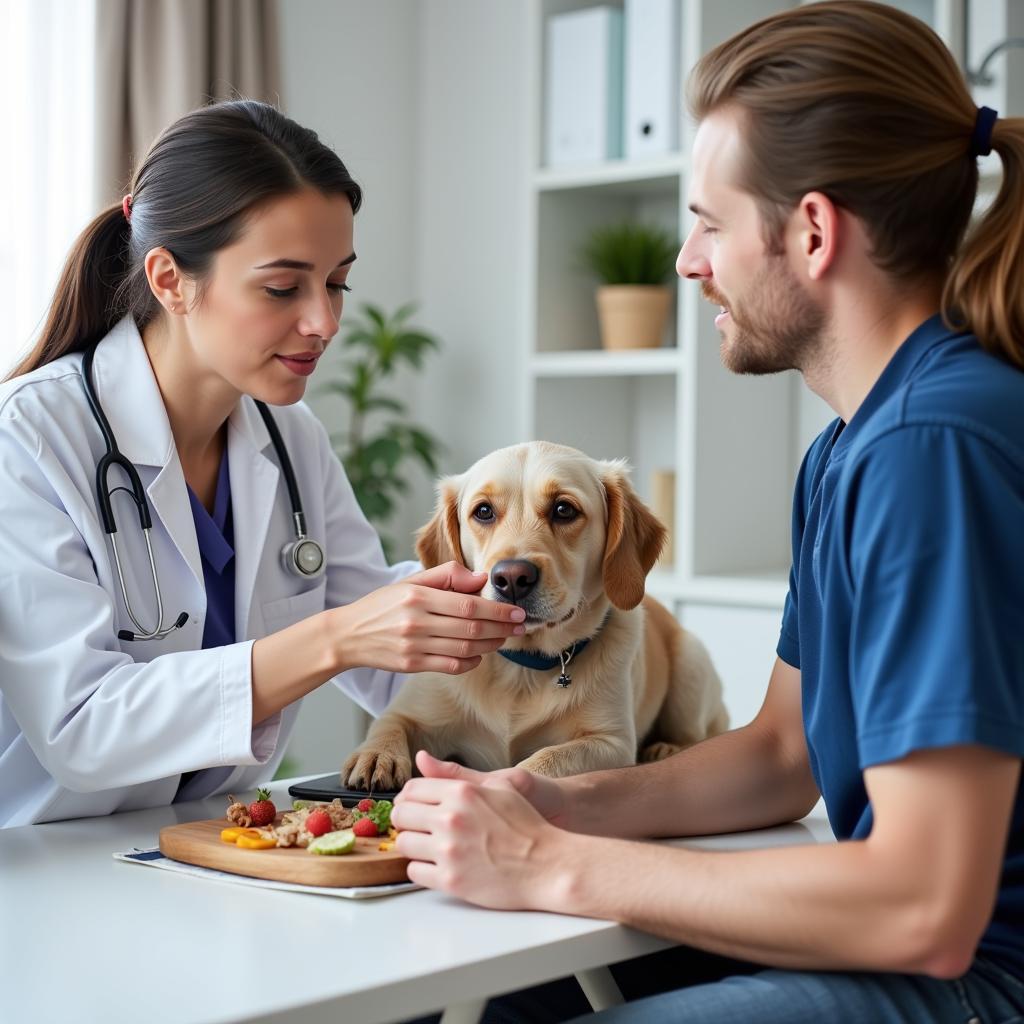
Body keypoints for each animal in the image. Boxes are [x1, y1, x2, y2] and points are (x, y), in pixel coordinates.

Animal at [344, 442, 729, 790]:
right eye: (483, 511)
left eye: (563, 509)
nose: (512, 578)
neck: (522, 668)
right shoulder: (408, 710)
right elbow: (388, 724)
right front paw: (377, 754)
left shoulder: (611, 742)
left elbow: (547, 759)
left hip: (691, 660)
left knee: (697, 733)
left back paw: (666, 747)